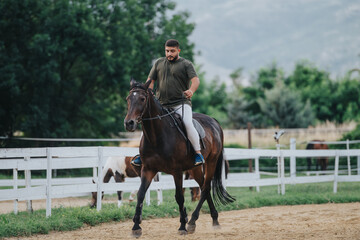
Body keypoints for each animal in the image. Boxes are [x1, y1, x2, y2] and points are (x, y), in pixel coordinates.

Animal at [124, 79, 236, 237]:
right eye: (128, 99)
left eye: (142, 99)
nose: (129, 123)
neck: (157, 136)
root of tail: (214, 121)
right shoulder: (148, 169)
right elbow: (141, 194)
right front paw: (136, 227)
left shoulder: (176, 171)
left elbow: (179, 196)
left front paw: (183, 225)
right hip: (194, 169)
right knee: (203, 187)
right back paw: (214, 220)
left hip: (211, 163)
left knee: (205, 188)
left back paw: (192, 222)